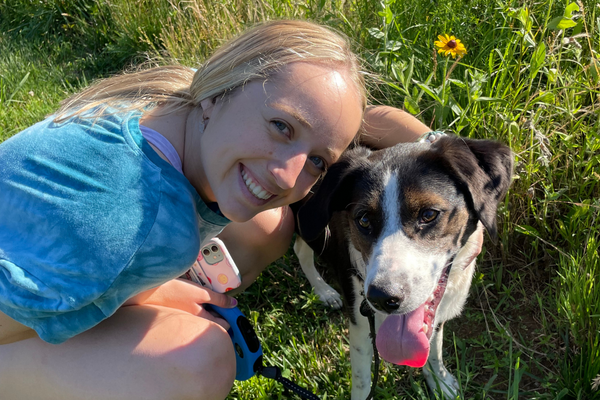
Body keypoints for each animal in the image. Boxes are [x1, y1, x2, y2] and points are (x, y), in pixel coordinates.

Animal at [292, 136, 512, 398]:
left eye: (429, 214)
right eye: (363, 219)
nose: (381, 298)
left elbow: (434, 348)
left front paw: (439, 381)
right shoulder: (359, 326)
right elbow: (362, 381)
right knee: (301, 251)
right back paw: (324, 292)